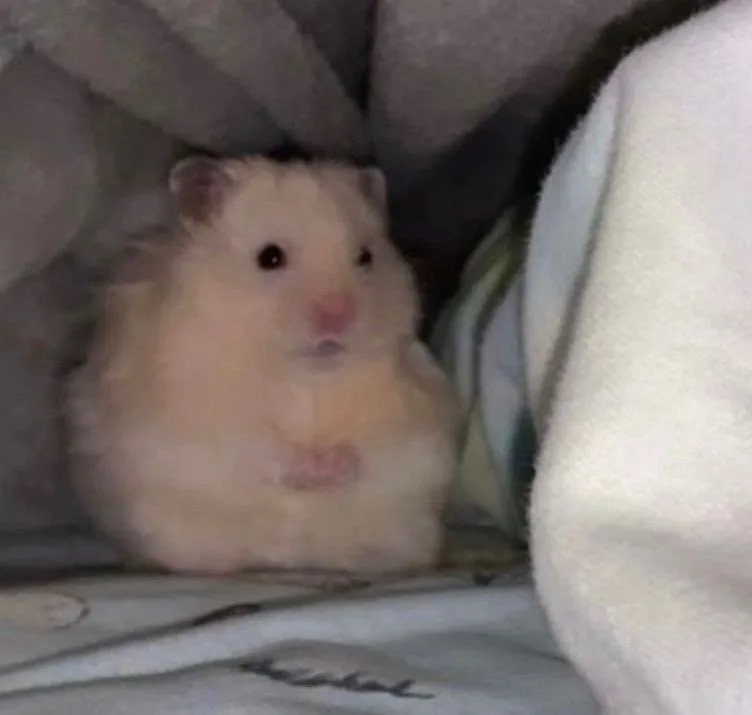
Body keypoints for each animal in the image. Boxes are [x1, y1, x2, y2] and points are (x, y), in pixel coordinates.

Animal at [65, 156, 460, 576]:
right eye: (269, 257)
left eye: (366, 257)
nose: (338, 317)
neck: (303, 374)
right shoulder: (200, 423)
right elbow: (257, 450)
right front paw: (309, 469)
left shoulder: (416, 412)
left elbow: (376, 450)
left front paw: (330, 466)